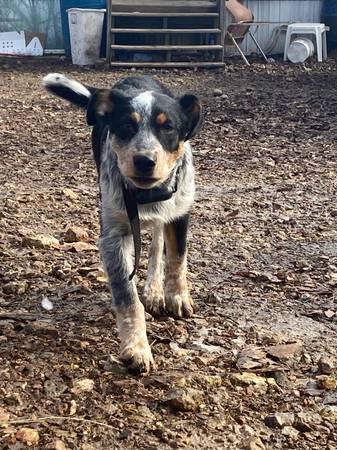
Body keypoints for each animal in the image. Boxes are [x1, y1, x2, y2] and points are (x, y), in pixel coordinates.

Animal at [41, 72, 200, 370]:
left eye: (168, 127)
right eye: (127, 125)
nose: (144, 160)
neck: (146, 195)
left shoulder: (180, 212)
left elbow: (177, 259)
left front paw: (177, 296)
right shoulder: (113, 236)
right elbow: (127, 296)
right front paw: (136, 347)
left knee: (157, 244)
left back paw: (154, 290)